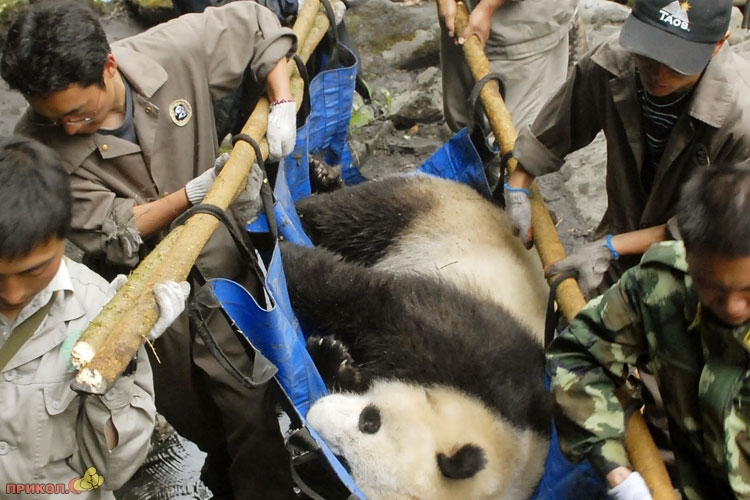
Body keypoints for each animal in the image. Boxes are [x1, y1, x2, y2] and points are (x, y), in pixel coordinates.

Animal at [280, 173, 551, 500]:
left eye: (345, 465)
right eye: (371, 420)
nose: (315, 417)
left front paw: (333, 358)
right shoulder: (478, 350)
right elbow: (370, 302)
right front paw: (287, 259)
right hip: (428, 211)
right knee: (349, 216)